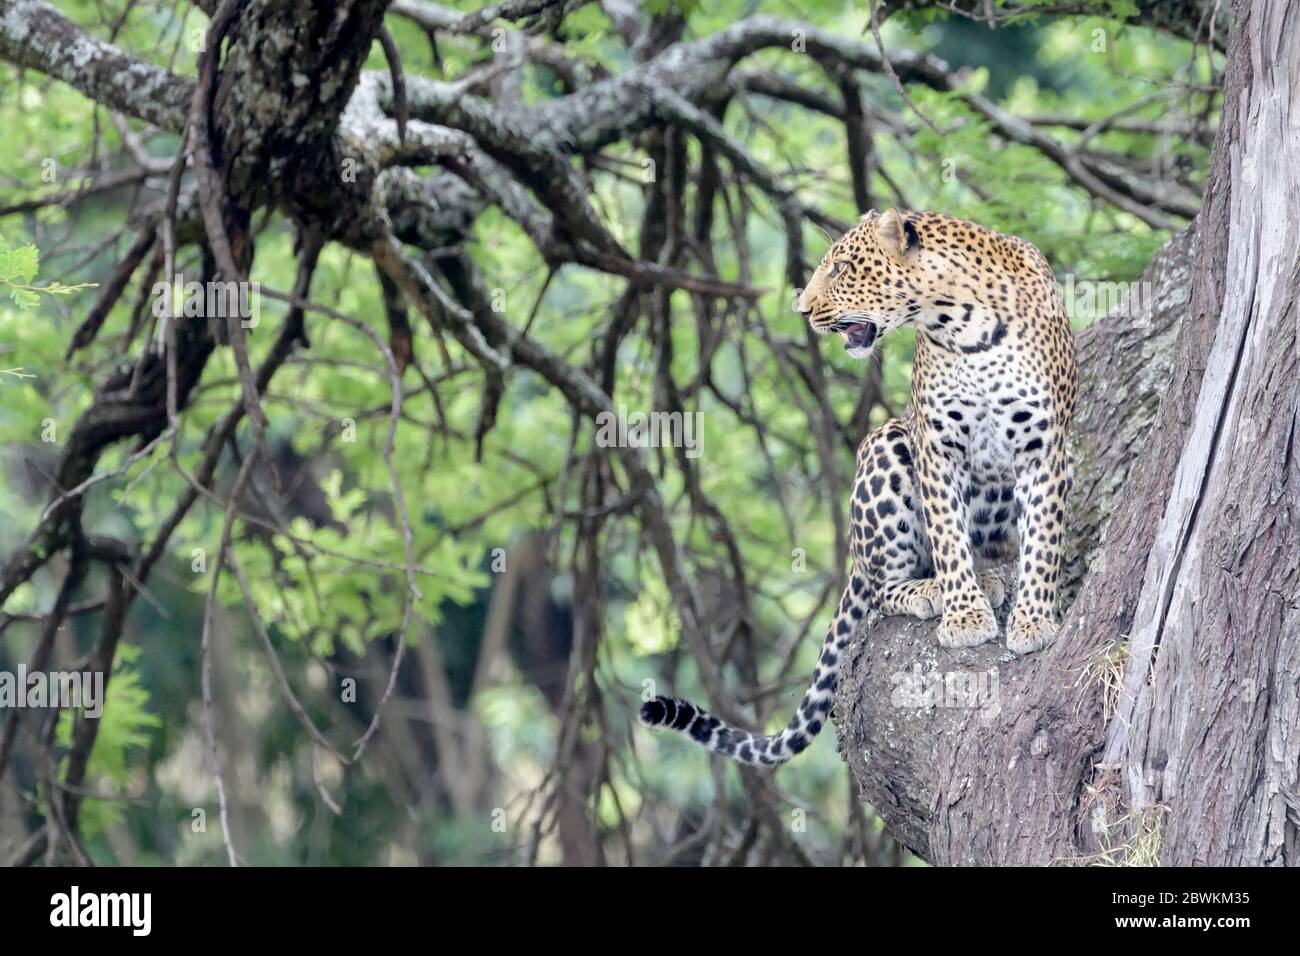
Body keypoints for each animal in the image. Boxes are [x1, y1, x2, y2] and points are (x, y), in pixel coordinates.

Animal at [640, 209, 1078, 766]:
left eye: (842, 267)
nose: (802, 309)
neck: (965, 327)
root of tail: (854, 554)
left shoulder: (1046, 448)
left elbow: (1043, 541)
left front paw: (1034, 620)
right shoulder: (934, 445)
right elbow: (948, 539)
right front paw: (964, 616)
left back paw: (997, 577)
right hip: (886, 441)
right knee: (883, 589)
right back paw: (935, 589)